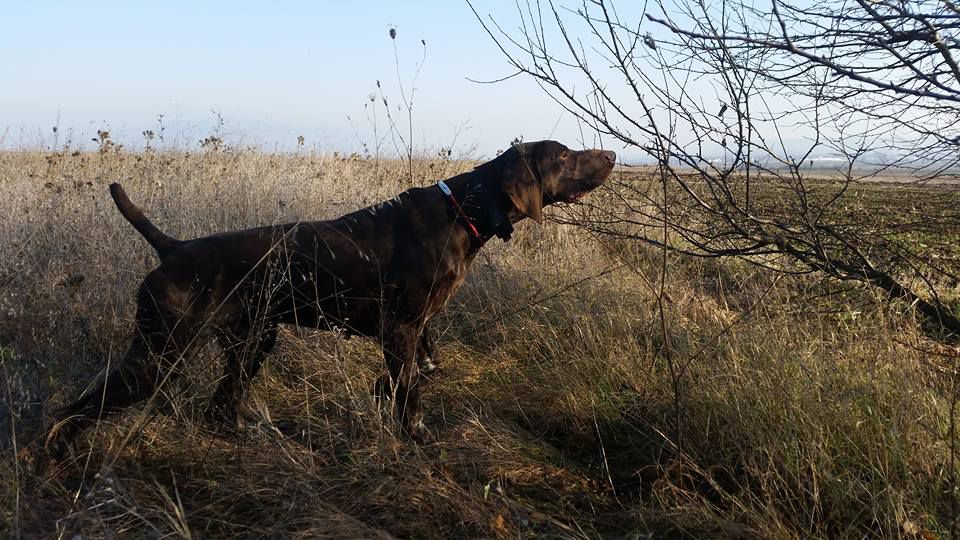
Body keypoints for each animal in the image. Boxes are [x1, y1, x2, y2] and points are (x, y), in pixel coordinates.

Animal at [41, 139, 616, 452]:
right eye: (565, 154)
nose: (612, 154)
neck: (464, 211)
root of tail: (173, 248)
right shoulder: (400, 327)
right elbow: (411, 392)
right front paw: (416, 437)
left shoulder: (418, 330)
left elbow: (414, 374)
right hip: (159, 353)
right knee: (75, 410)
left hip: (252, 342)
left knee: (219, 408)